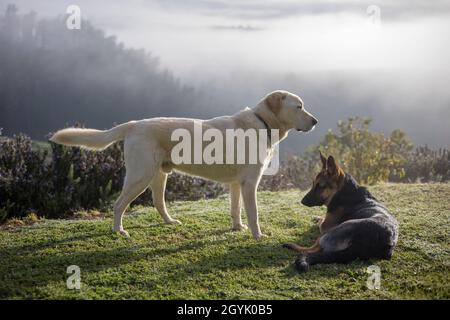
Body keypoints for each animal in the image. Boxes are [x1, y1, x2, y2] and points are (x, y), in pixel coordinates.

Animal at [50, 89, 316, 239]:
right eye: (299, 107)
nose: (315, 121)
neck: (262, 123)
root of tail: (134, 124)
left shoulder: (236, 184)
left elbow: (235, 209)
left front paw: (237, 228)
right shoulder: (250, 184)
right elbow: (254, 214)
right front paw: (258, 236)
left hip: (159, 175)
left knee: (158, 202)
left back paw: (169, 222)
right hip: (140, 177)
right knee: (118, 205)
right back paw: (119, 231)